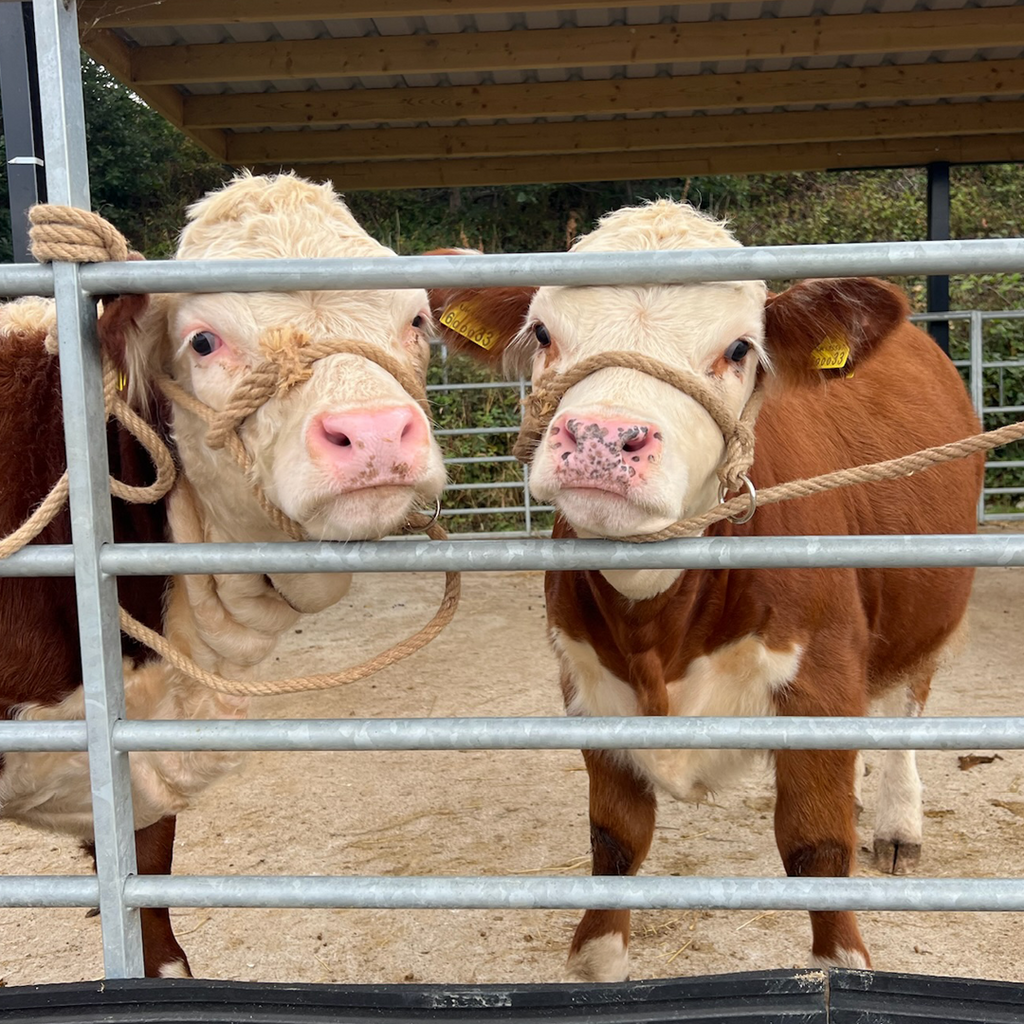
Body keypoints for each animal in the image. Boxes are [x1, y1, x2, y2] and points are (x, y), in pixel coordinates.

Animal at [430, 199, 983, 981]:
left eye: (741, 348)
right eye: (542, 332)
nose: (602, 438)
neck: (659, 626)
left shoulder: (823, 676)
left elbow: (817, 848)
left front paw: (844, 959)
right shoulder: (589, 685)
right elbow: (614, 841)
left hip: (928, 601)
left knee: (907, 698)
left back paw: (899, 821)